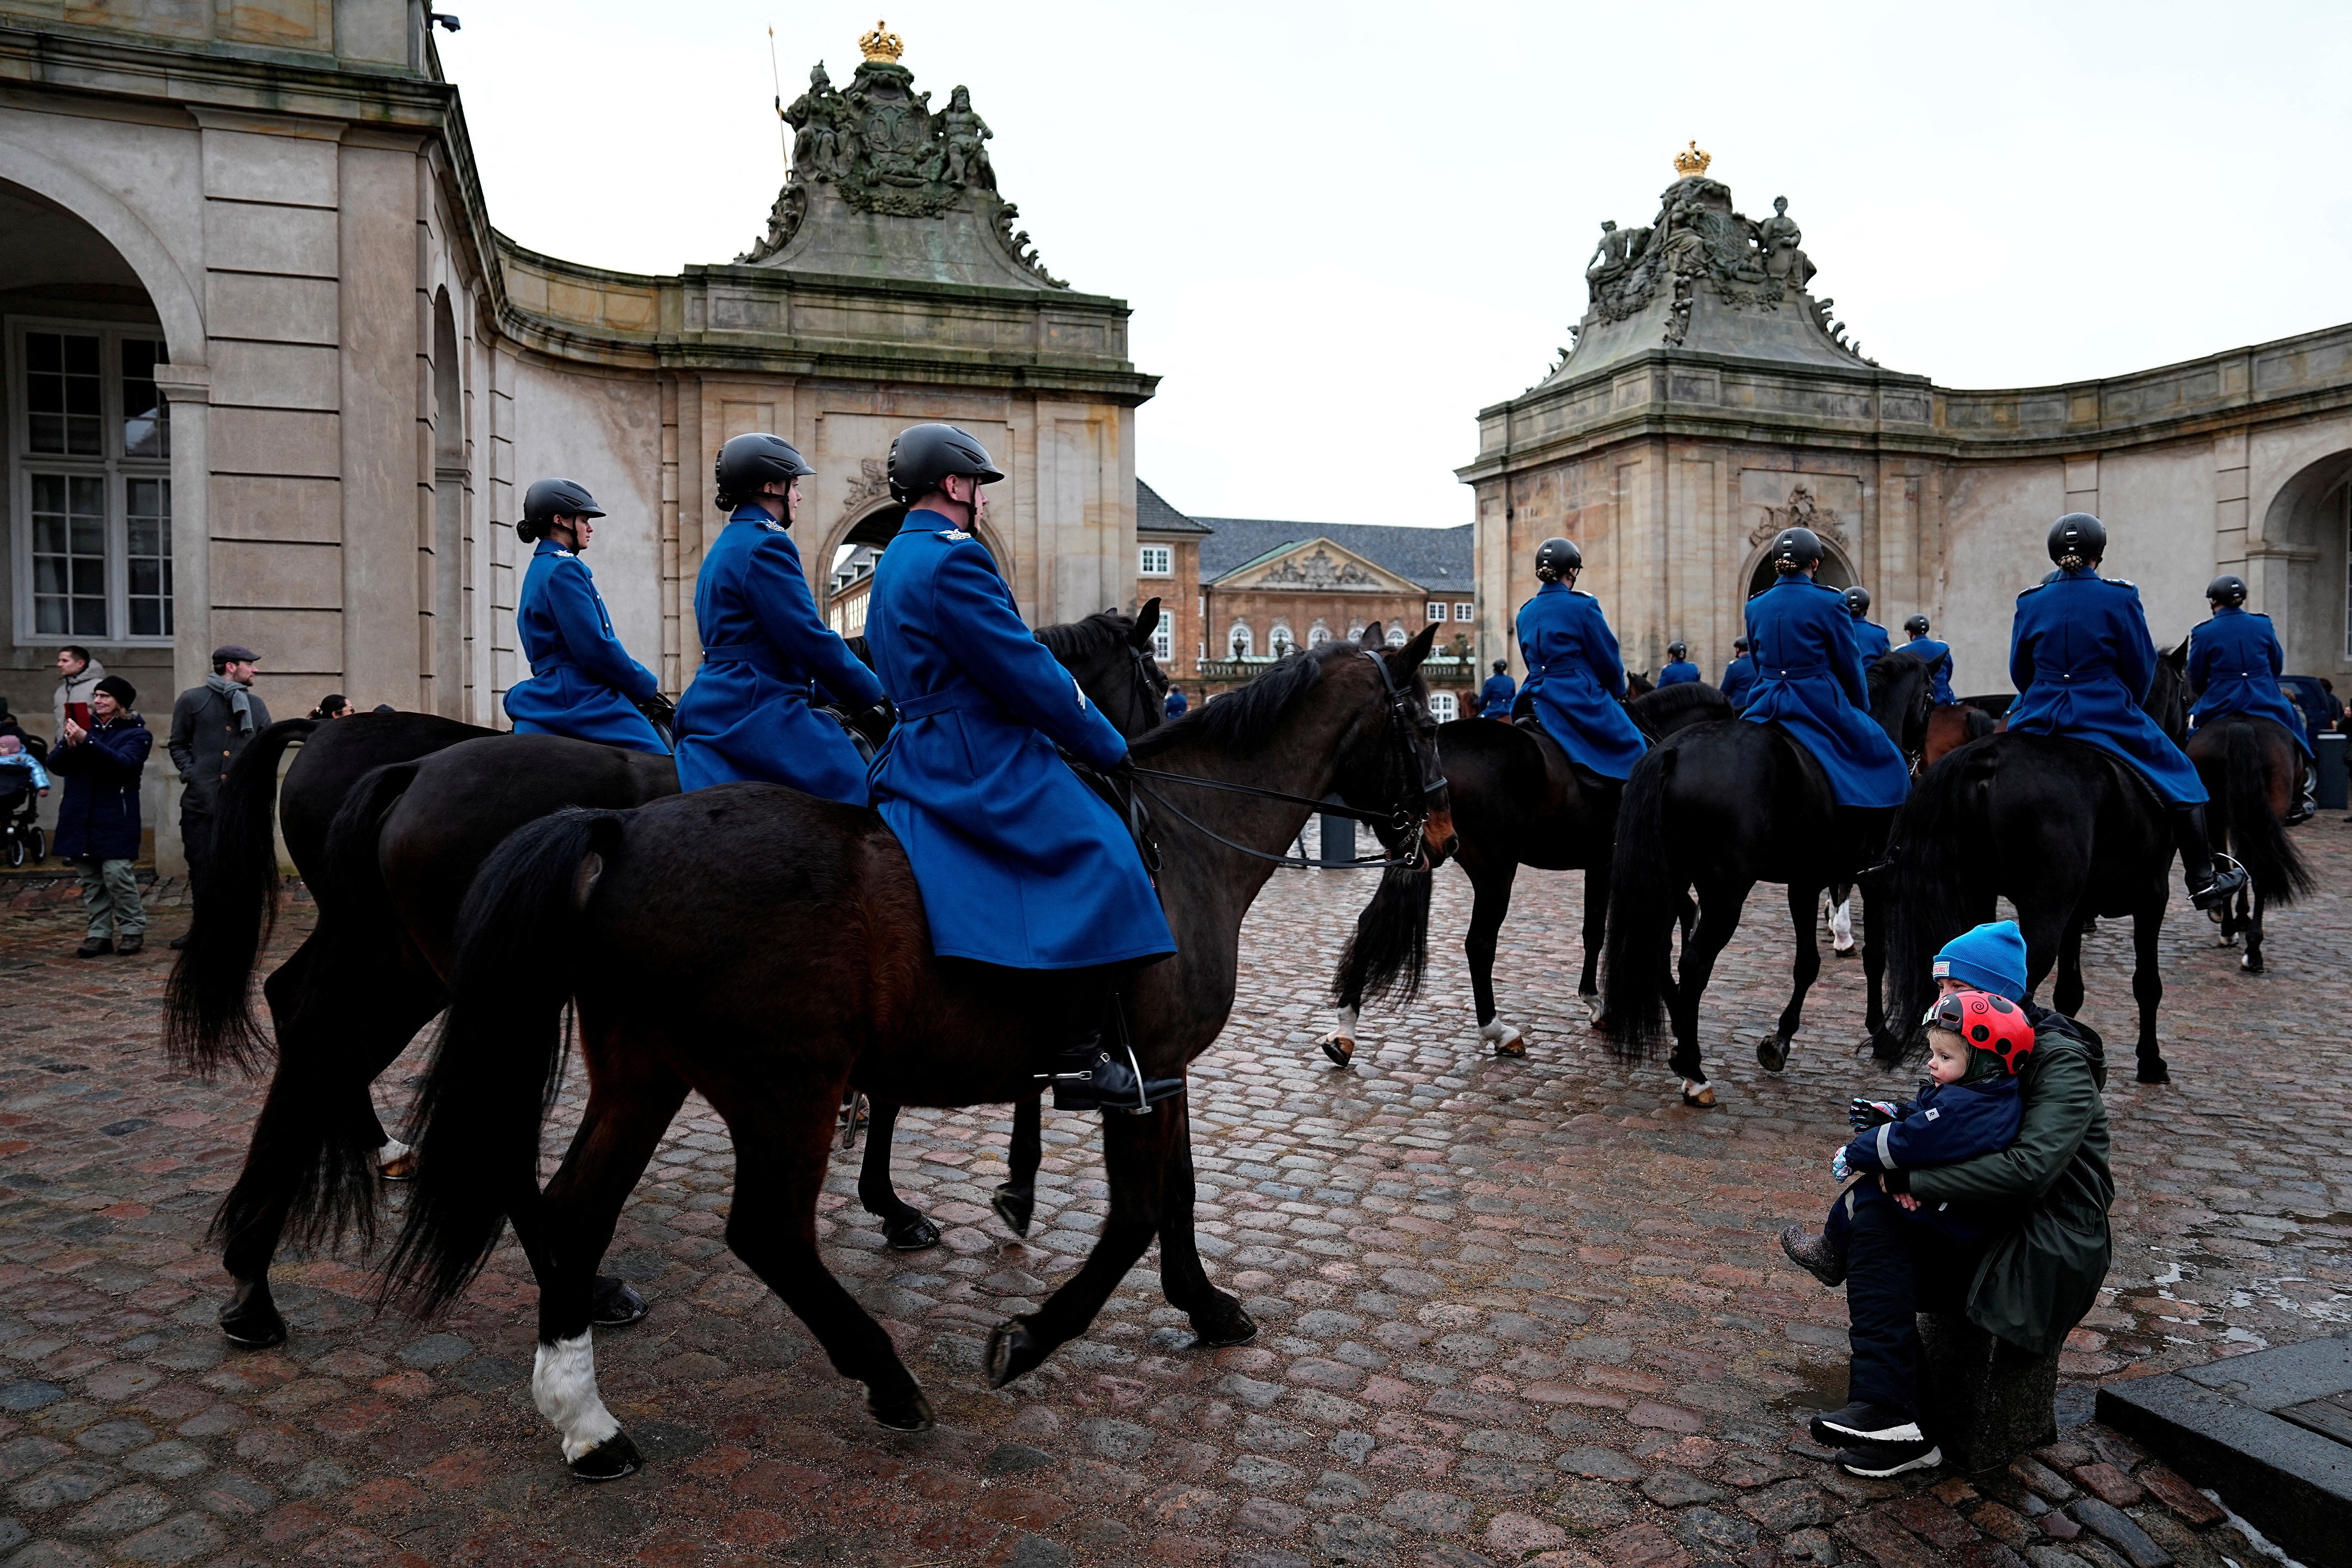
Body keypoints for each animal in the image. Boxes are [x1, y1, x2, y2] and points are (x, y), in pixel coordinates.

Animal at [176, 607, 1176, 1344]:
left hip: (398, 958)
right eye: (1160, 680)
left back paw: (262, 1267)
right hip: (449, 976)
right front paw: (944, 1195)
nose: (1140, 764)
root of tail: (410, 762)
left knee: (306, 1023)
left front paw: (918, 1193)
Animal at [381, 630, 1449, 1476]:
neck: (1190, 843)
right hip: (784, 1087)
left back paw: (587, 1418)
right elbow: (1138, 1215)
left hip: (645, 1071)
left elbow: (1175, 1199)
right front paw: (1031, 1333)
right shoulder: (1139, 1066)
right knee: (765, 1233)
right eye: (1426, 721)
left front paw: (1206, 1306)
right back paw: (886, 1377)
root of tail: (621, 830)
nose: (1441, 830)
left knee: (574, 1207)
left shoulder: (1162, 1069)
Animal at [1336, 682, 1740, 1062]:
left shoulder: (1602, 864)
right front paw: (1611, 1004)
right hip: (1496, 873)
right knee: (1479, 944)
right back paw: (1498, 1031)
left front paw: (1603, 1000)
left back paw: (1344, 1028)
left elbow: (1599, 930)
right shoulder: (1620, 864)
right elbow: (1610, 929)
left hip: (1414, 860)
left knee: (1370, 921)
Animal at [1599, 648, 1928, 1105]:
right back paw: (1694, 1071)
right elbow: (1874, 957)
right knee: (1694, 963)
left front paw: (1781, 1040)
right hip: (1725, 893)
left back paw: (1682, 1048)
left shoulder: (1805, 882)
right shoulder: (1874, 876)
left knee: (1660, 951)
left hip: (1671, 881)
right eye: (1930, 698)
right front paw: (1882, 1036)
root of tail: (1673, 752)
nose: (1920, 763)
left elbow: (1807, 964)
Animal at [1882, 639, 2192, 1081]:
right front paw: (2151, 1062)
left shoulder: (2078, 909)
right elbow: (2147, 983)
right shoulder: (2153, 896)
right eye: (2186, 697)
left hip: (1980, 898)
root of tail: (1987, 759)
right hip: (2045, 908)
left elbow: (2071, 990)